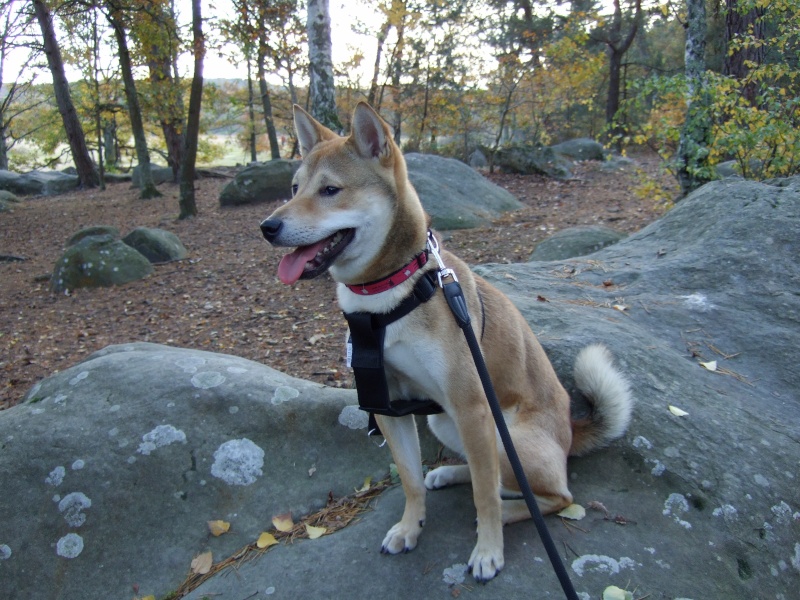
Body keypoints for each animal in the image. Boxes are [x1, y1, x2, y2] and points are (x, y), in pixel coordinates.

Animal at [260, 102, 632, 580]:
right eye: (293, 188)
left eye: (330, 190)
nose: (268, 226)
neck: (387, 294)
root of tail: (570, 432)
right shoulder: (389, 404)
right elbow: (410, 480)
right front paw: (409, 528)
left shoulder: (472, 405)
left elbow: (486, 497)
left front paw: (488, 550)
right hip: (444, 421)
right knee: (487, 474)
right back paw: (451, 474)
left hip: (502, 436)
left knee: (547, 495)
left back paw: (507, 513)